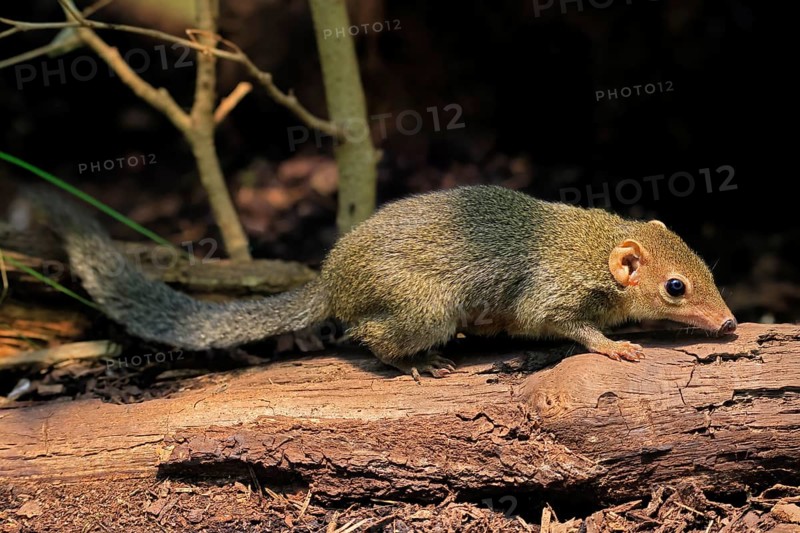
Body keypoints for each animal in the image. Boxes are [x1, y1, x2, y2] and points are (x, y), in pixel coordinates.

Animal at [22, 184, 737, 381]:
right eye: (676, 287)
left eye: (708, 269)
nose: (729, 322)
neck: (593, 248)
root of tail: (330, 281)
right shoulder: (551, 295)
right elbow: (566, 327)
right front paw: (616, 346)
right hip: (424, 308)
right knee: (367, 336)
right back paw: (417, 363)